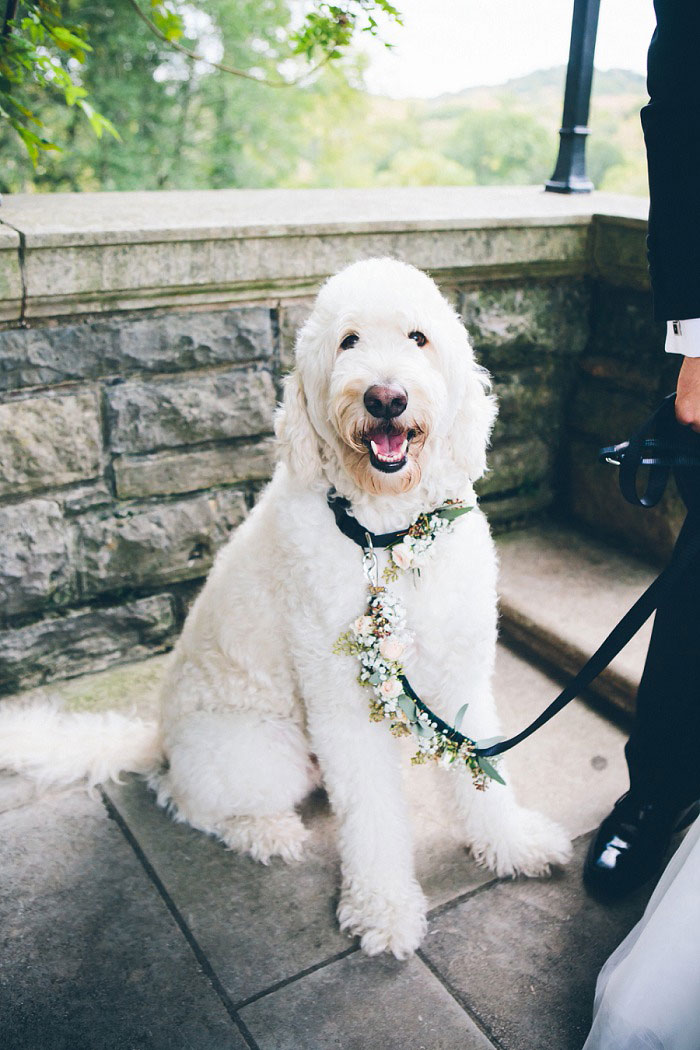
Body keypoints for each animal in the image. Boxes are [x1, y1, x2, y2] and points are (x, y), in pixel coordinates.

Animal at [0, 256, 570, 961]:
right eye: (349, 341)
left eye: (418, 338)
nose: (385, 397)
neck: (387, 536)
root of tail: (159, 737)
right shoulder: (342, 701)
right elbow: (372, 816)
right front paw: (383, 909)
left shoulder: (460, 675)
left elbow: (481, 769)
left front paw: (512, 845)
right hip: (264, 754)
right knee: (184, 799)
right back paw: (265, 832)